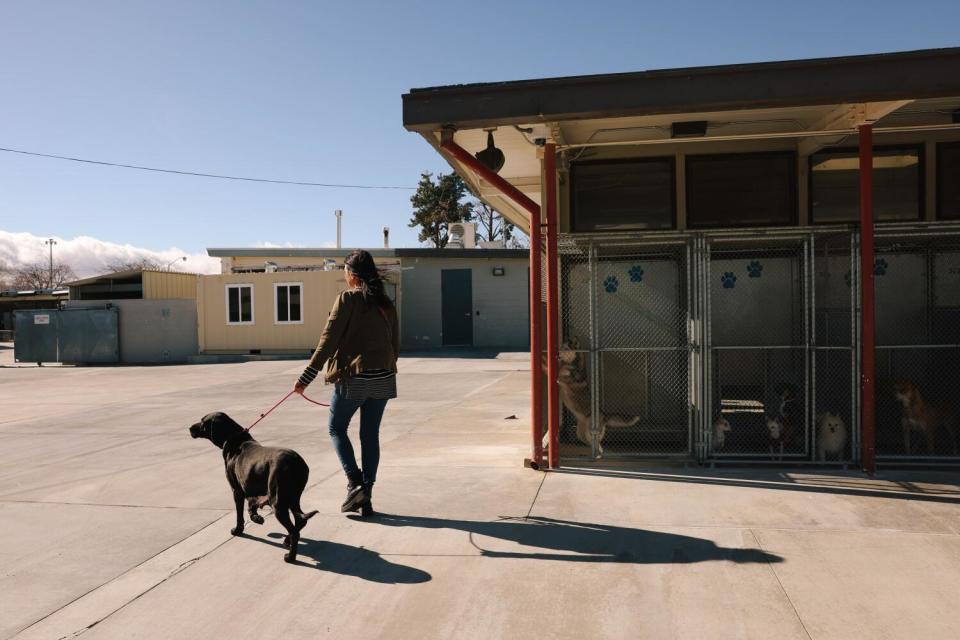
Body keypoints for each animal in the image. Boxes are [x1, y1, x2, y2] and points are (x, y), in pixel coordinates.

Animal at [188, 412, 318, 564]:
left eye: (203, 422)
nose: (189, 428)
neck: (234, 439)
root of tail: (296, 462)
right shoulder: (250, 487)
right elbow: (252, 505)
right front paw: (256, 518)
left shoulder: (237, 490)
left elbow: (240, 514)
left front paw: (238, 530)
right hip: (292, 497)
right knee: (300, 520)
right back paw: (288, 540)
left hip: (278, 501)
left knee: (294, 530)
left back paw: (290, 557)